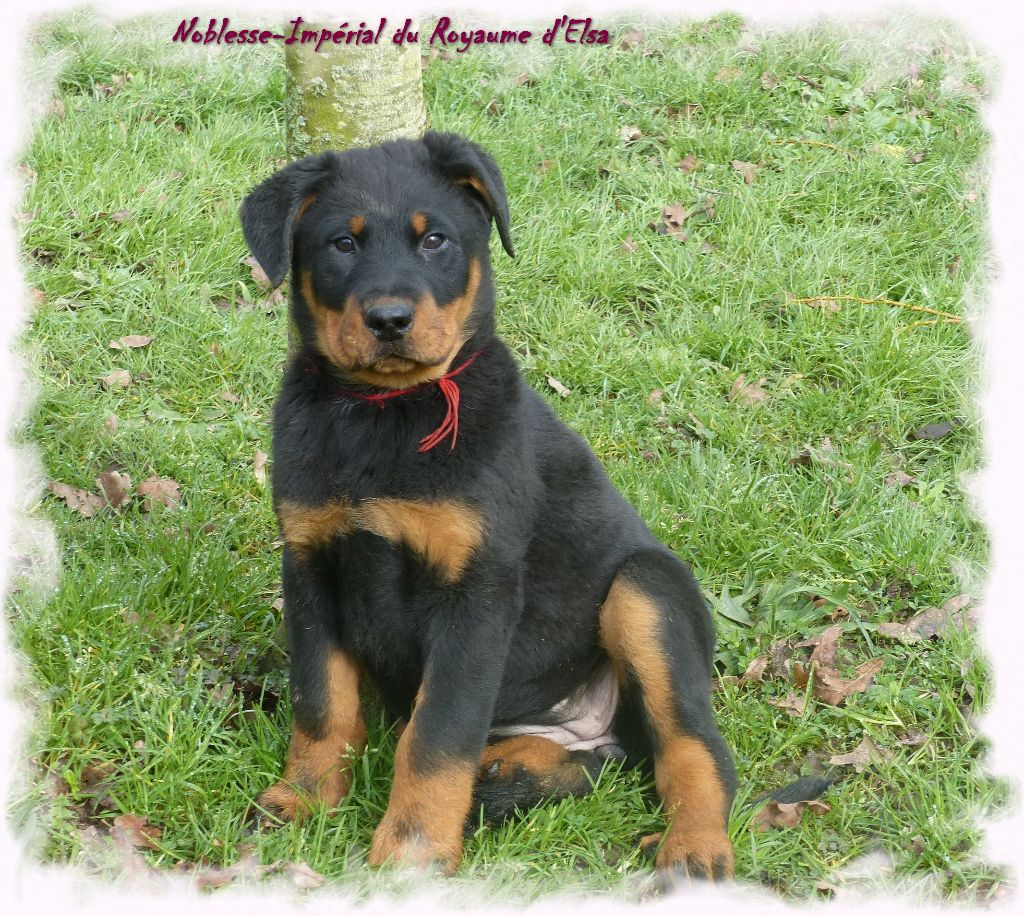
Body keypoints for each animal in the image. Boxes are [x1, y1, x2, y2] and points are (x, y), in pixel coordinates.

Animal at [239, 132, 736, 881]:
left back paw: (693, 849)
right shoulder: (311, 566)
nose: (389, 320)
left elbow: (437, 734)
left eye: (435, 240)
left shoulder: (477, 592)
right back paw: (507, 776)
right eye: (341, 244)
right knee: (596, 764)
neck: (386, 416)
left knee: (692, 745)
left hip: (646, 589)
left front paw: (411, 853)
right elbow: (321, 704)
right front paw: (302, 801)